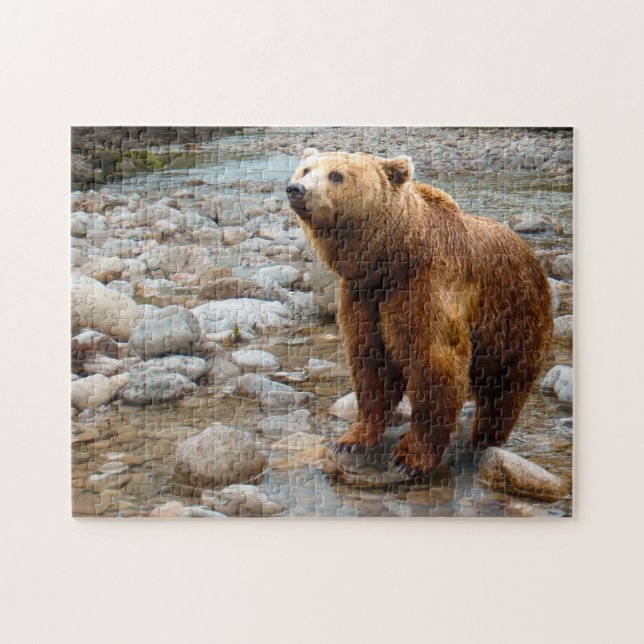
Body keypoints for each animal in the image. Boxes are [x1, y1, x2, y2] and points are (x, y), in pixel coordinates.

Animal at [287, 148, 553, 479]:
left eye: (336, 175)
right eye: (305, 169)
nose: (296, 189)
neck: (391, 259)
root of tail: (530, 252)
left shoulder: (426, 290)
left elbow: (434, 366)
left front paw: (410, 457)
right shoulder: (363, 298)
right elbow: (370, 365)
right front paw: (352, 439)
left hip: (515, 320)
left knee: (505, 388)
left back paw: (484, 438)